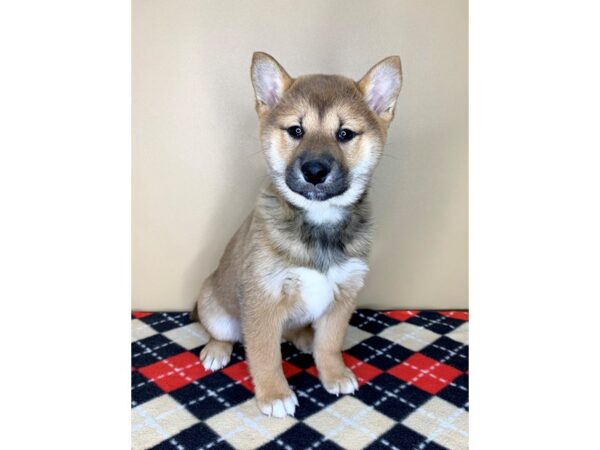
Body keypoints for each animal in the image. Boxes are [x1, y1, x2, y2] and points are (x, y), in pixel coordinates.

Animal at [195, 51, 400, 418]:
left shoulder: (344, 294)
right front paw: (275, 393)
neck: (319, 222)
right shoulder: (263, 298)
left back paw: (305, 338)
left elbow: (330, 344)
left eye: (345, 133)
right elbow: (265, 355)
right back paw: (217, 350)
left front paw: (333, 373)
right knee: (223, 333)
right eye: (296, 130)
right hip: (216, 309)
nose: (315, 171)